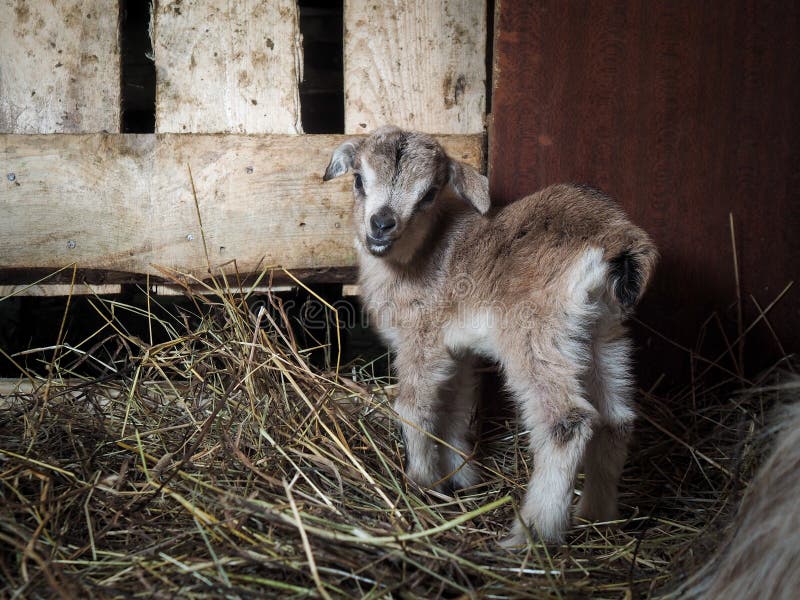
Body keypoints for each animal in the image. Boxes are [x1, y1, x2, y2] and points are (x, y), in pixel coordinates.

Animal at [323, 125, 658, 544]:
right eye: (358, 179)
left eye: (429, 193)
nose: (381, 224)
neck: (415, 258)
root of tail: (615, 240)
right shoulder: (459, 352)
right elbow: (456, 409)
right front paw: (462, 477)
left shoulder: (423, 338)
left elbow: (414, 407)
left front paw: (422, 482)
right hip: (603, 335)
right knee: (616, 419)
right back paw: (597, 519)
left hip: (535, 333)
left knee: (567, 422)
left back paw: (531, 535)